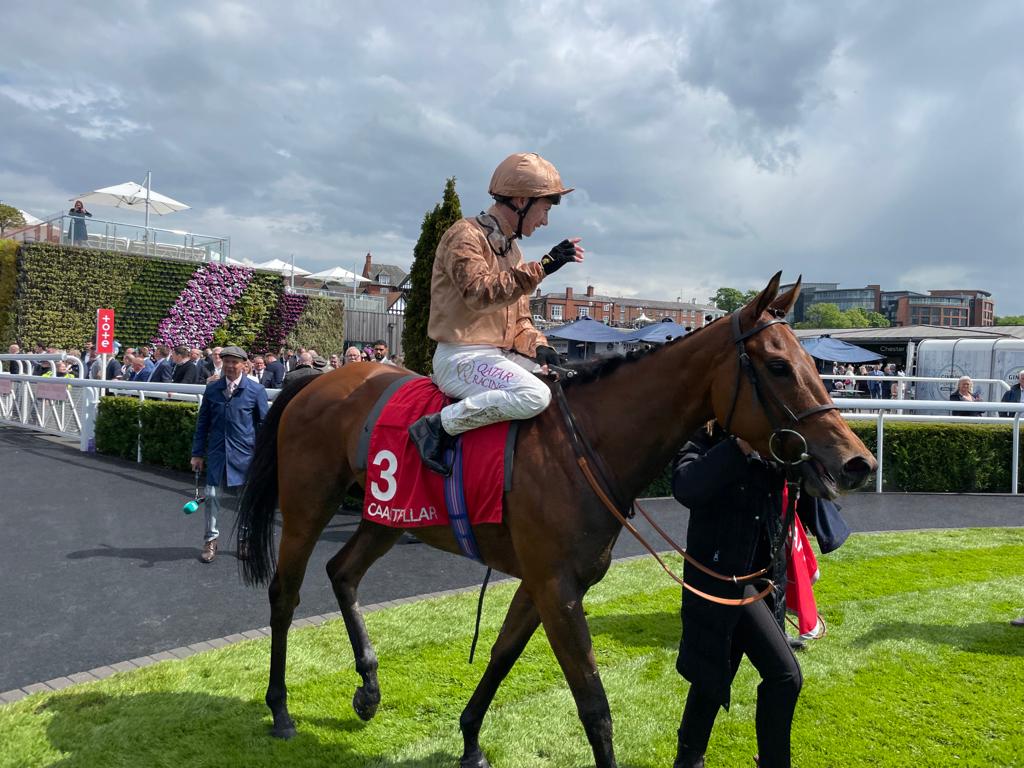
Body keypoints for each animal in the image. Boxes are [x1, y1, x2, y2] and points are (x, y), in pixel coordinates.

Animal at [237, 274, 872, 765]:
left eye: (813, 362)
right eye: (778, 366)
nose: (857, 462)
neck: (585, 445)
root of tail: (315, 379)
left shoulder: (547, 583)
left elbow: (502, 655)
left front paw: (470, 740)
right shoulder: (557, 587)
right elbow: (593, 702)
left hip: (386, 516)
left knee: (342, 573)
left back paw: (368, 688)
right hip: (308, 507)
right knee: (285, 594)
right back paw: (280, 708)